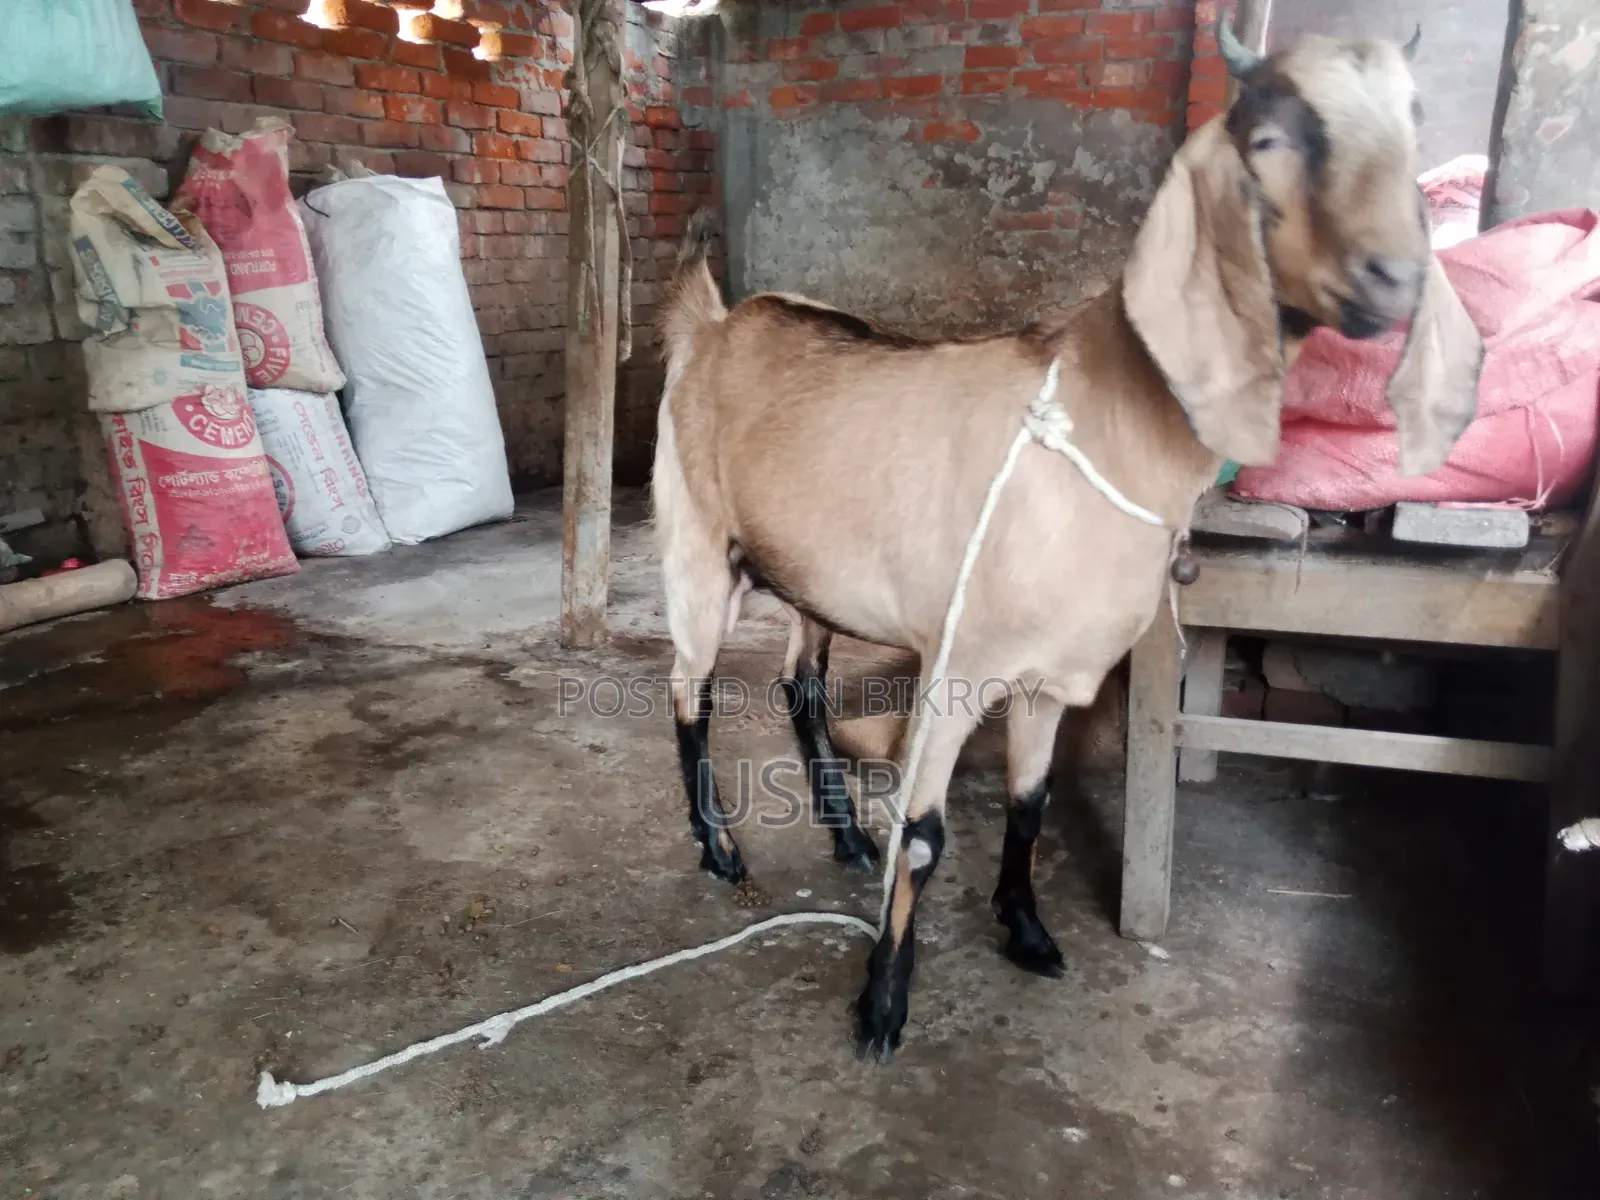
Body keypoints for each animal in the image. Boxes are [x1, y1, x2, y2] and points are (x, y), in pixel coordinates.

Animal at [650, 19, 1483, 1063]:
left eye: (1413, 128)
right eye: (1269, 135)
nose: (1393, 281)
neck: (1098, 414)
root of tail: (716, 320)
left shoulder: (1051, 676)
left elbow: (1031, 801)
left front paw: (1028, 930)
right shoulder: (960, 664)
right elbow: (924, 833)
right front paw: (882, 1007)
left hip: (809, 574)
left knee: (800, 688)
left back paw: (841, 837)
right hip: (695, 542)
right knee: (689, 693)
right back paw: (720, 849)